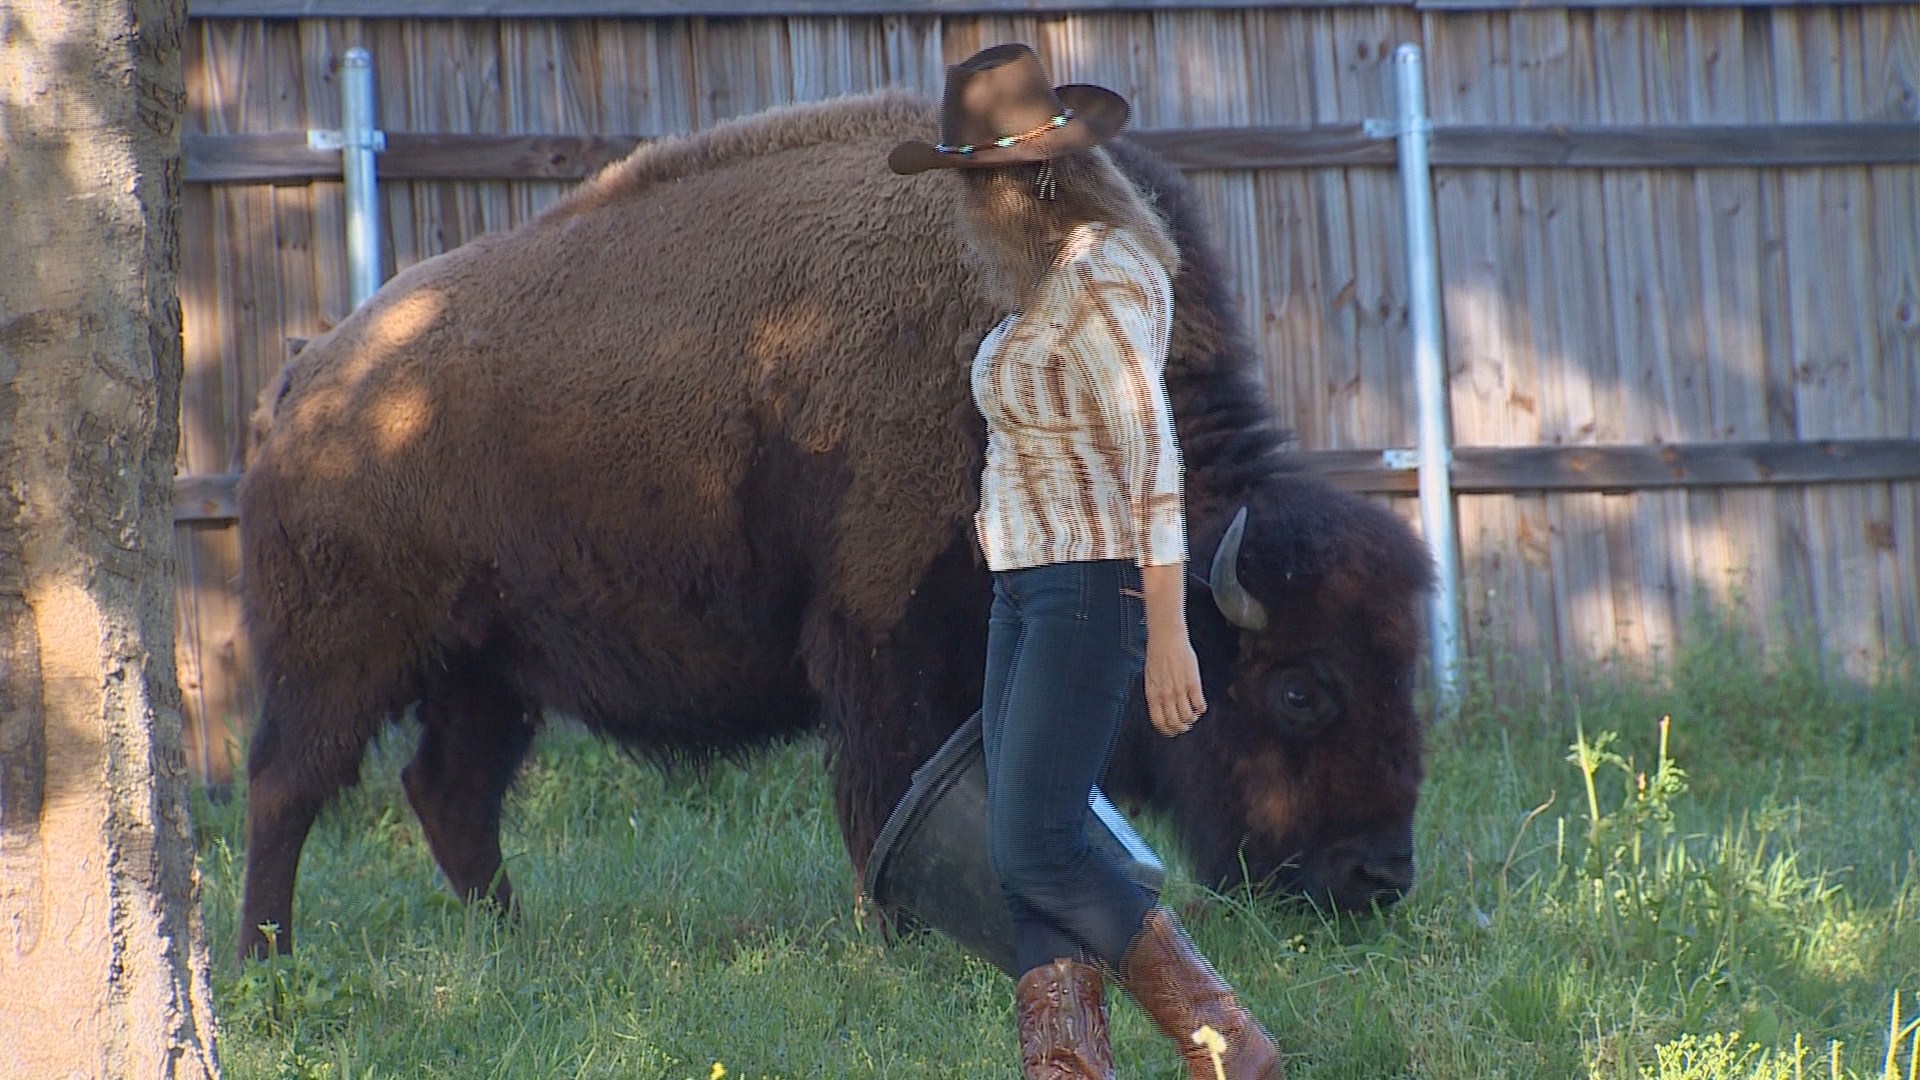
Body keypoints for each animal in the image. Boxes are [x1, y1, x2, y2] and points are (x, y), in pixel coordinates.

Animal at [236, 90, 1433, 962]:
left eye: (1405, 666)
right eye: (1301, 690)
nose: (1377, 878)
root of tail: (303, 382)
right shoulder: (877, 631)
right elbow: (882, 786)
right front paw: (901, 940)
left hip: (490, 670)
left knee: (451, 793)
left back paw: (514, 943)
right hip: (342, 653)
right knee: (289, 786)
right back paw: (267, 961)